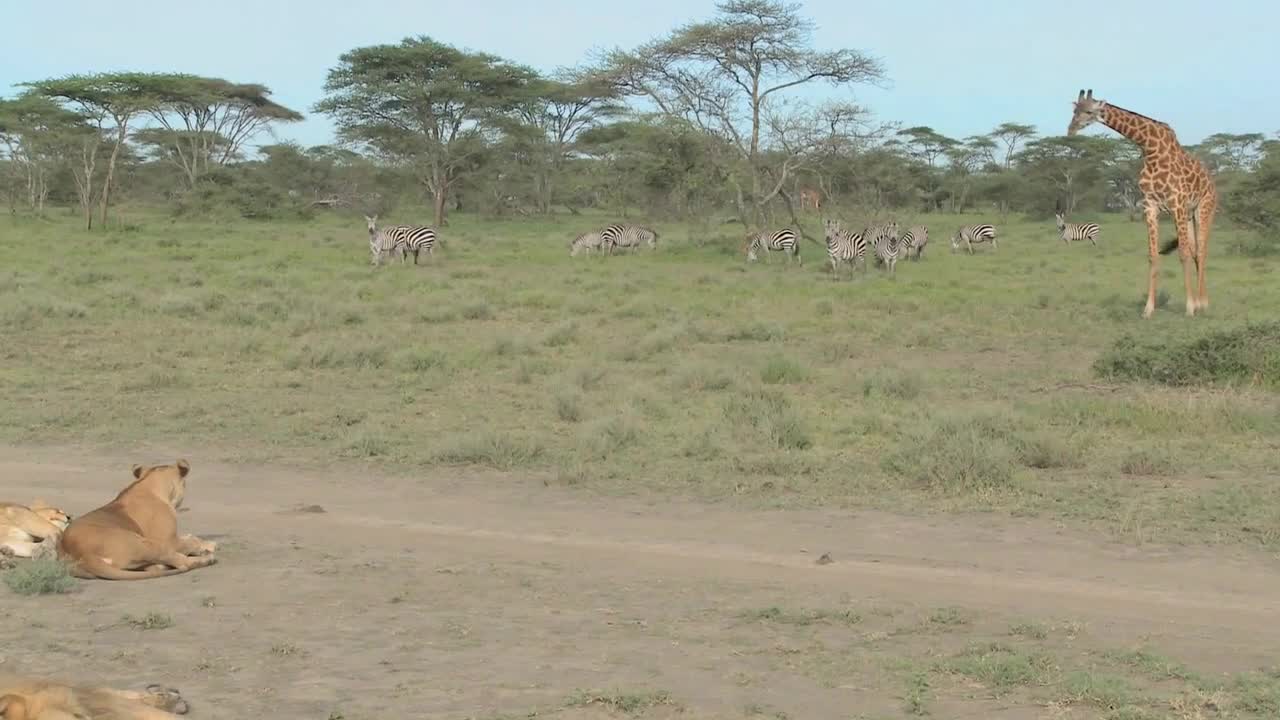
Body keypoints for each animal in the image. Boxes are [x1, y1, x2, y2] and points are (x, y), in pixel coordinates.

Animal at [56, 456, 217, 579]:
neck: (148, 484)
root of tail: (84, 556)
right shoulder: (169, 541)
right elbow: (190, 542)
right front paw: (209, 545)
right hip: (146, 544)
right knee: (182, 562)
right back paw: (207, 559)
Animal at [1070, 87, 1218, 316]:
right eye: (1074, 111)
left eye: (1088, 112)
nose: (1071, 130)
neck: (1150, 149)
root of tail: (1212, 183)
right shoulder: (1150, 206)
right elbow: (1153, 255)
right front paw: (1148, 309)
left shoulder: (1176, 204)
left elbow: (1182, 253)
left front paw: (1190, 308)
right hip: (1190, 214)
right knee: (1196, 251)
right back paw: (1200, 301)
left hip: (1204, 209)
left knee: (1201, 251)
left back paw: (1203, 303)